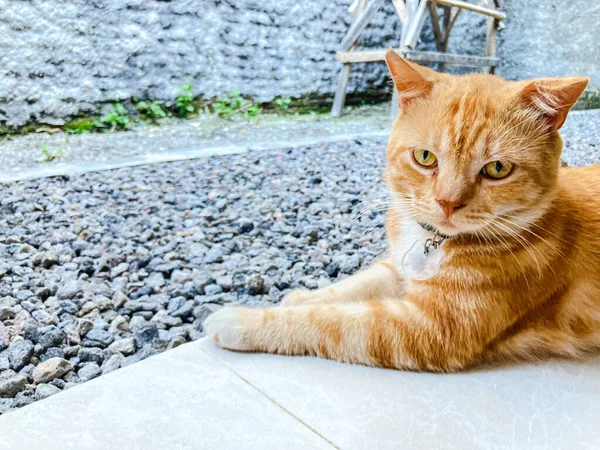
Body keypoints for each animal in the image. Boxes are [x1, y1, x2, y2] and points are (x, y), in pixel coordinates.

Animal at [203, 50, 596, 372]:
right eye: (425, 157)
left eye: (497, 169)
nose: (448, 202)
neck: (432, 242)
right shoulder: (398, 266)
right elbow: (352, 286)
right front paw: (300, 297)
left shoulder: (427, 329)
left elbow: (327, 321)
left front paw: (240, 320)